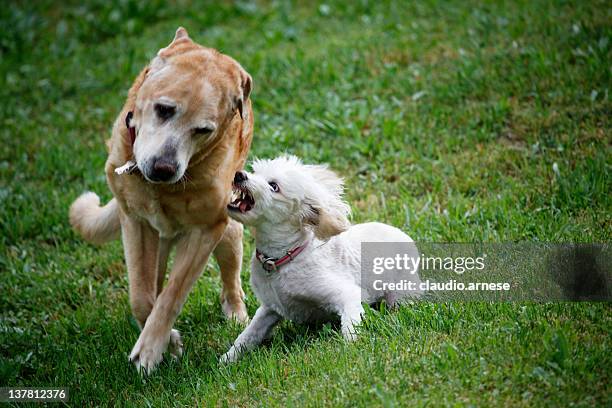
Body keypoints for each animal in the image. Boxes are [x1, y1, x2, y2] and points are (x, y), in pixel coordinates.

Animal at [70, 27, 252, 372]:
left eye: (202, 129)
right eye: (164, 109)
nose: (163, 168)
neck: (163, 190)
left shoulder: (206, 230)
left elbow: (172, 294)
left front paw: (151, 349)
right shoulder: (135, 222)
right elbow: (142, 297)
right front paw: (168, 341)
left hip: (227, 237)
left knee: (230, 276)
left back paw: (236, 313)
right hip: (157, 240)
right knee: (152, 283)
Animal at [220, 156, 420, 364]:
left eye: (274, 186)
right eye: (255, 172)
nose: (239, 175)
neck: (283, 258)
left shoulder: (346, 294)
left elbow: (350, 325)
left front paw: (351, 348)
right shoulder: (270, 308)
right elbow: (249, 335)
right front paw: (228, 359)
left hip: (401, 294)